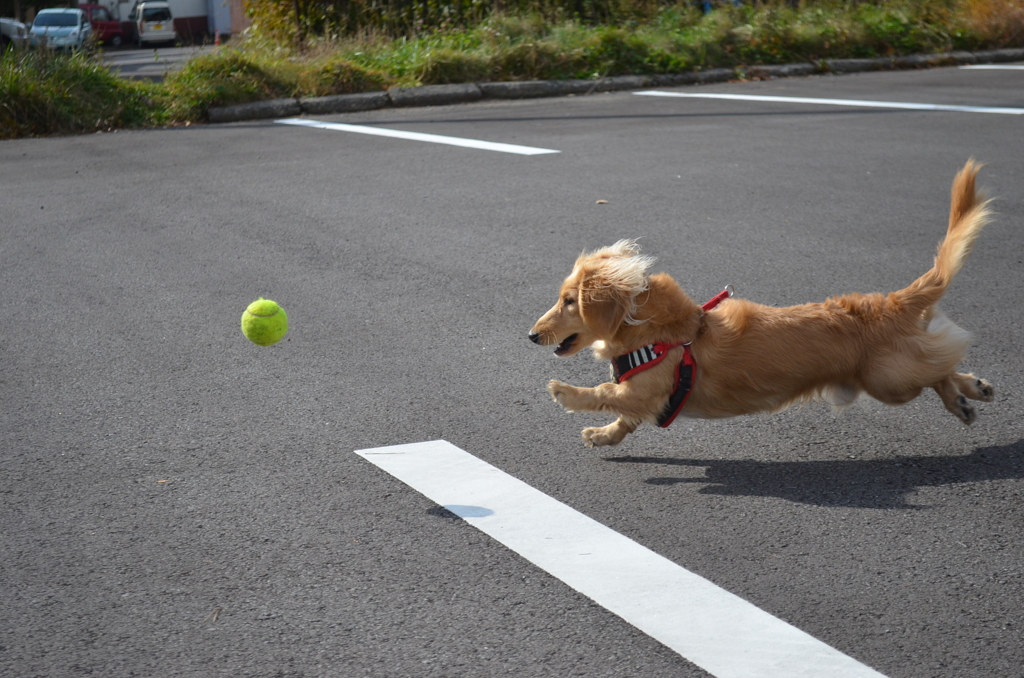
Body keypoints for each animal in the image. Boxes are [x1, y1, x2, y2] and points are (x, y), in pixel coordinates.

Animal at [532, 161, 995, 448]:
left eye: (568, 301)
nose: (532, 335)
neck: (660, 332)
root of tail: (893, 303)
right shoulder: (647, 400)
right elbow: (622, 418)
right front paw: (602, 435)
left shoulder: (648, 391)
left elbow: (605, 393)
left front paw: (566, 393)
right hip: (892, 377)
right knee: (941, 362)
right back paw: (973, 391)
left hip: (890, 382)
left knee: (938, 369)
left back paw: (962, 398)